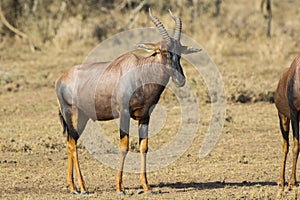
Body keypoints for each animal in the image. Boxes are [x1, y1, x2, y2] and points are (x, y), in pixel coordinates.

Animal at [55, 8, 202, 195]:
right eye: (162, 51)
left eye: (180, 52)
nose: (180, 80)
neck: (139, 72)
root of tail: (60, 79)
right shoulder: (123, 114)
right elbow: (124, 146)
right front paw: (119, 187)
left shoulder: (145, 116)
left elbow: (144, 146)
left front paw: (146, 186)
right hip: (71, 113)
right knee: (73, 143)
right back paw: (82, 187)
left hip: (83, 117)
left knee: (69, 141)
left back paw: (72, 186)